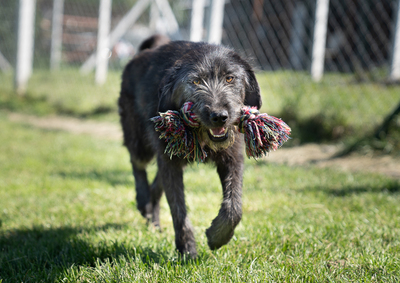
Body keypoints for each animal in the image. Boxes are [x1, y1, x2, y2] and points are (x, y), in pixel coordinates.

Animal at [119, 34, 262, 258]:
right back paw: (143, 200)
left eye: (230, 78)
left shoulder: (232, 158)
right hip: (141, 141)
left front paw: (217, 236)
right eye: (195, 81)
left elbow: (234, 206)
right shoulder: (170, 162)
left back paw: (153, 217)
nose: (219, 116)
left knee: (156, 184)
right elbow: (179, 210)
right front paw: (187, 251)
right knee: (137, 163)